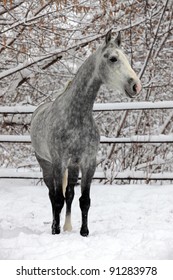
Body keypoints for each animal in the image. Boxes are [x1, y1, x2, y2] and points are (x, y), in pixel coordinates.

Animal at [30, 30, 142, 236]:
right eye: (113, 58)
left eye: (126, 58)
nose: (136, 86)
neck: (76, 116)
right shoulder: (59, 162)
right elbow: (57, 199)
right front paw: (56, 231)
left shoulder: (88, 162)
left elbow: (84, 200)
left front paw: (84, 232)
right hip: (46, 165)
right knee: (52, 195)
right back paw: (55, 226)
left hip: (73, 167)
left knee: (69, 194)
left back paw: (68, 227)